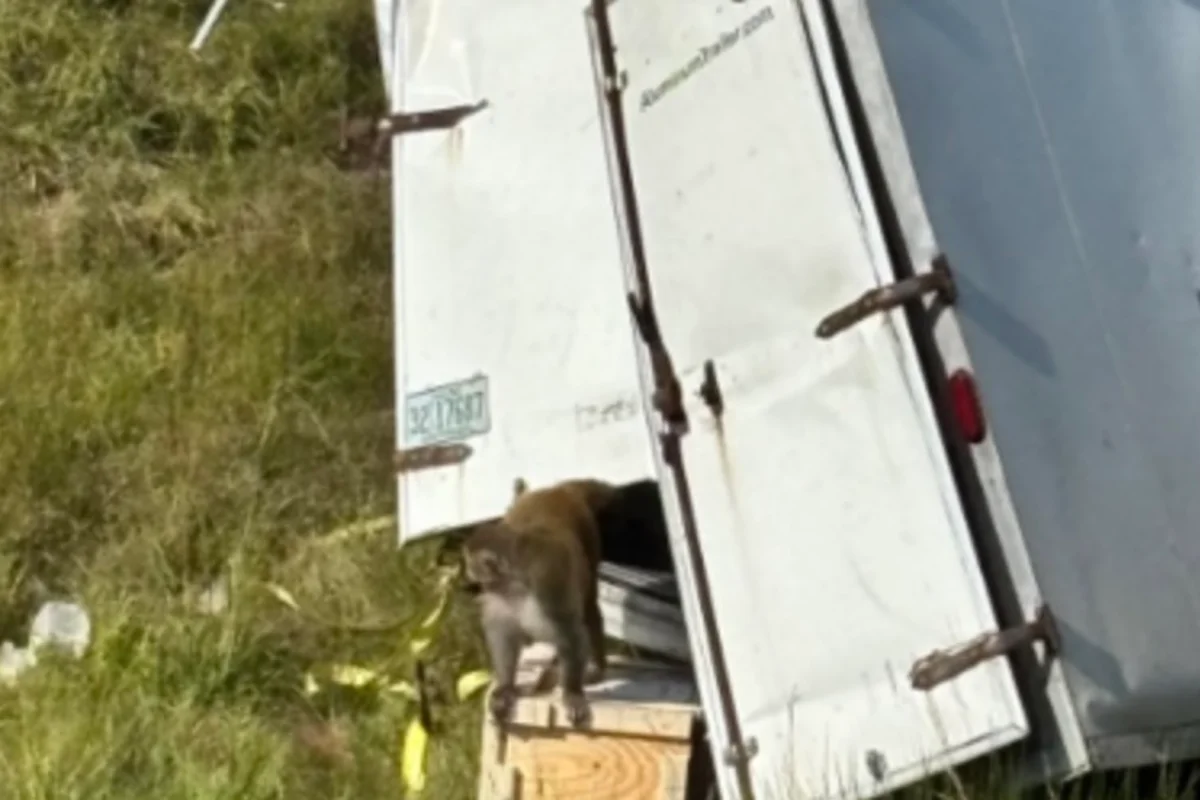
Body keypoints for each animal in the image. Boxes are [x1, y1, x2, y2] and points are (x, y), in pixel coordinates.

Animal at [462, 478, 616, 728]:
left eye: (470, 562)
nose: (467, 572)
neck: (516, 583)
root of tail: (555, 490)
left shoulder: (549, 585)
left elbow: (570, 634)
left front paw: (572, 693)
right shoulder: (500, 597)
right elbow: (503, 634)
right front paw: (505, 687)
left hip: (589, 537)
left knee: (589, 607)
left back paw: (596, 665)